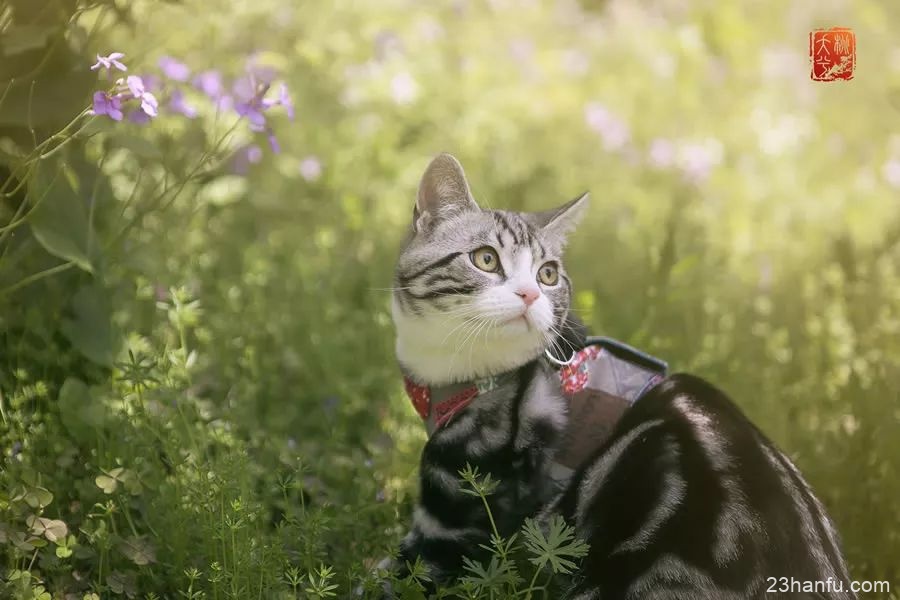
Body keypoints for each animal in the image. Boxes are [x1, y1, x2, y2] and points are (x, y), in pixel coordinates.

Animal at [384, 156, 852, 600]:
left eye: (547, 274)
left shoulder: (453, 518)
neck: (463, 373)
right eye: (485, 259)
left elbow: (395, 577)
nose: (531, 294)